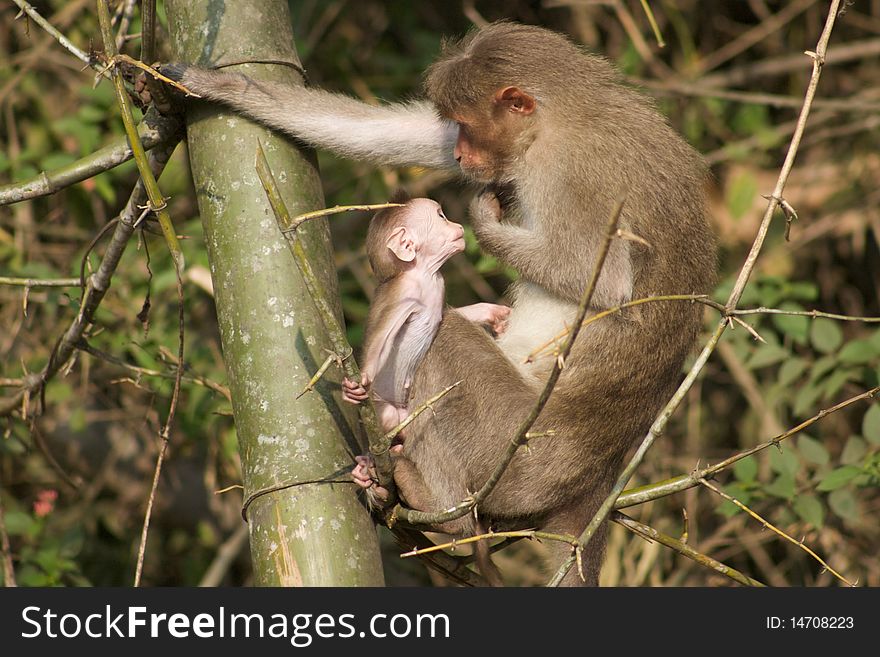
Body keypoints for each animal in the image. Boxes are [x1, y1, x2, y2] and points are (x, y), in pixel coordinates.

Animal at [346, 192, 508, 484]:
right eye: (441, 216)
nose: (457, 224)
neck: (424, 274)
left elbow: (443, 316)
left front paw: (493, 313)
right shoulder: (405, 291)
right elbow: (380, 337)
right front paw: (357, 381)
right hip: (382, 406)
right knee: (389, 417)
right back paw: (372, 460)